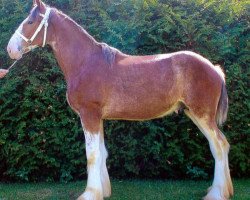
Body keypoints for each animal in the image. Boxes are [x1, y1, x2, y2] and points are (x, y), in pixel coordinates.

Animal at [6, 0, 232, 200]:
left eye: (30, 21)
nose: (10, 49)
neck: (85, 63)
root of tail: (214, 69)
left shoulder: (89, 115)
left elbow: (92, 154)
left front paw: (90, 194)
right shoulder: (97, 118)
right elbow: (101, 152)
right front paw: (103, 191)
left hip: (202, 115)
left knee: (220, 145)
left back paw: (216, 193)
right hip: (193, 113)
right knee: (219, 146)